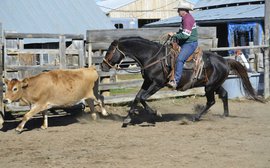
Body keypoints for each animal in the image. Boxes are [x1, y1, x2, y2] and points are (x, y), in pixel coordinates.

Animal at [100, 36, 262, 126]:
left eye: (109, 51)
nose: (102, 66)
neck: (152, 56)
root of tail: (225, 60)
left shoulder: (157, 83)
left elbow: (143, 98)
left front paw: (156, 113)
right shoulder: (147, 82)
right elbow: (137, 97)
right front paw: (127, 118)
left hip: (209, 87)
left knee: (211, 101)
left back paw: (196, 117)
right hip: (214, 85)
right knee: (224, 94)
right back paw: (225, 115)